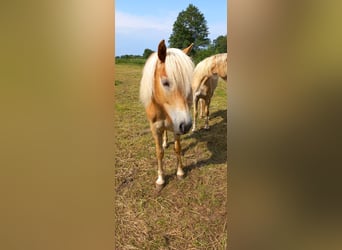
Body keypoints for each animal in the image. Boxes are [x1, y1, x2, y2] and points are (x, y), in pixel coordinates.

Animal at [138, 39, 192, 188]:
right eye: (165, 82)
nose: (186, 126)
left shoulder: (176, 126)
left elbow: (177, 148)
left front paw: (180, 172)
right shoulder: (155, 128)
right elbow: (159, 153)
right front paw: (160, 179)